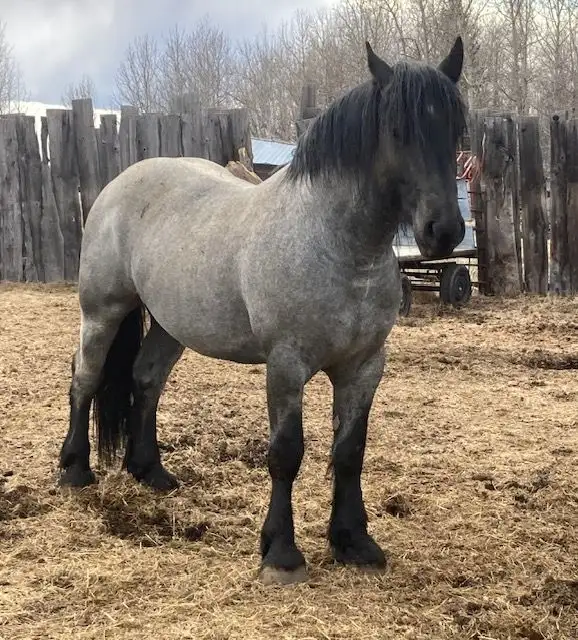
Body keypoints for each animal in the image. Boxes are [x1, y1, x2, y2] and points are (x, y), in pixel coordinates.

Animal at [58, 37, 467, 585]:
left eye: (456, 130)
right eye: (398, 131)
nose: (443, 231)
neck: (337, 245)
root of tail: (122, 181)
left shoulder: (364, 366)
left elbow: (350, 451)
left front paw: (354, 542)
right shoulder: (286, 365)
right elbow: (286, 453)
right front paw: (281, 552)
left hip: (170, 324)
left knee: (146, 380)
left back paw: (151, 473)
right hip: (102, 311)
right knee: (85, 377)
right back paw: (75, 470)